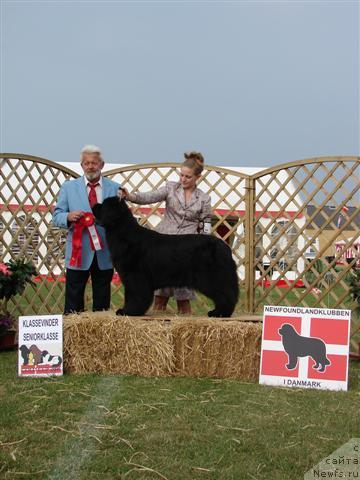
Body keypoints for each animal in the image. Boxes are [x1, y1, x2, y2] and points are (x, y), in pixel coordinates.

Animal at [93, 197, 239, 316]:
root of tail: (225, 246)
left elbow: (135, 295)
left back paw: (220, 313)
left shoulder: (135, 276)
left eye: (103, 205)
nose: (94, 204)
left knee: (225, 295)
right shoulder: (130, 278)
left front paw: (128, 311)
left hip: (213, 277)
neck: (123, 234)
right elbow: (131, 295)